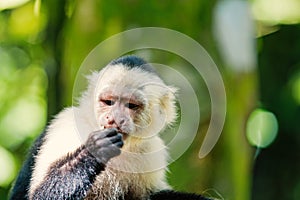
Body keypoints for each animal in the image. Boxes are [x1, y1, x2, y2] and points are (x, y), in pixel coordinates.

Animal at [9, 55, 211, 200]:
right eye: (108, 102)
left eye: (131, 105)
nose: (115, 119)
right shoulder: (67, 129)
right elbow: (39, 196)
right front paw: (96, 150)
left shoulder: (151, 151)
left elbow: (150, 195)